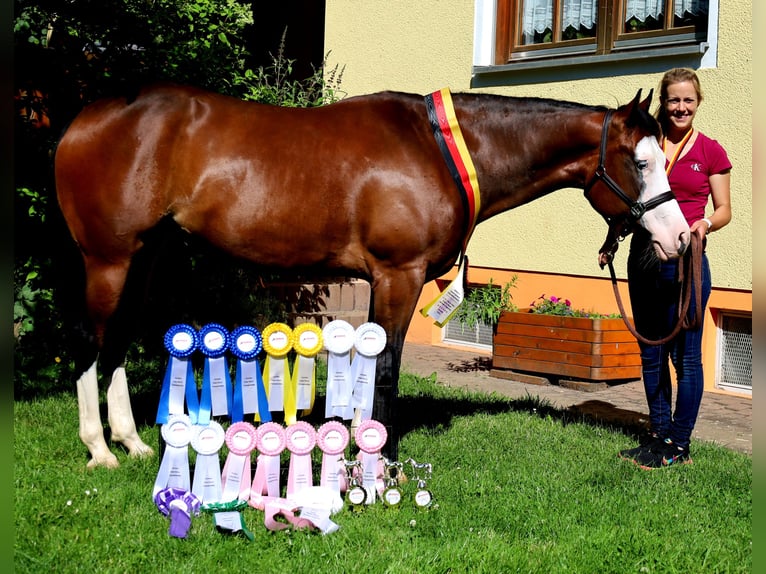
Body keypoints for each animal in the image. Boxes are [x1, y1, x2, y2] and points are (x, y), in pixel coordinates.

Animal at [54, 84, 690, 468]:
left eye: (666, 158)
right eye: (641, 161)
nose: (679, 237)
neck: (438, 150)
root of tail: (86, 118)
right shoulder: (397, 276)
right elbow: (385, 366)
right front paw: (378, 461)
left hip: (145, 256)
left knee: (118, 338)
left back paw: (132, 442)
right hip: (108, 258)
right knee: (90, 341)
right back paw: (99, 449)